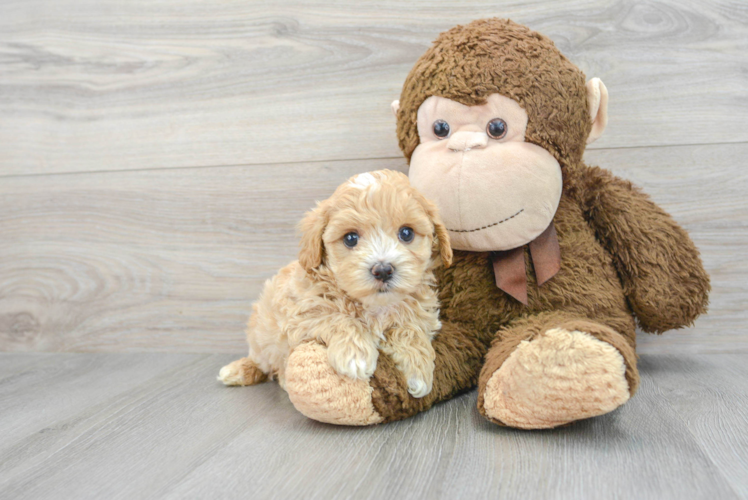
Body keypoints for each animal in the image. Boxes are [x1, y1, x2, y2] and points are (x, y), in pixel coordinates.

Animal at [216, 171, 450, 398]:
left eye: (406, 233)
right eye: (350, 238)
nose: (383, 270)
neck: (374, 306)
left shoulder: (422, 314)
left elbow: (411, 329)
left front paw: (419, 370)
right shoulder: (299, 314)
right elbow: (337, 317)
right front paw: (356, 356)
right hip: (261, 335)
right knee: (263, 361)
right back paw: (238, 371)